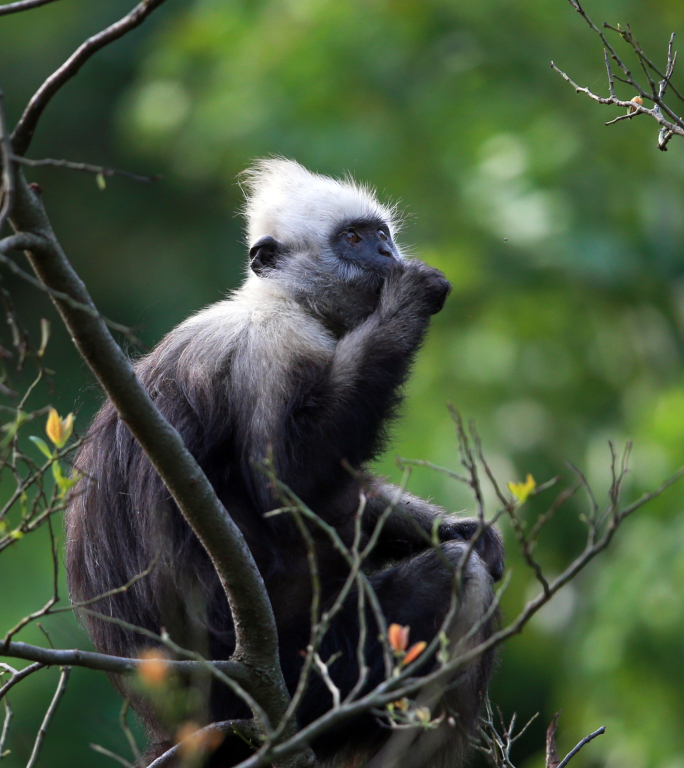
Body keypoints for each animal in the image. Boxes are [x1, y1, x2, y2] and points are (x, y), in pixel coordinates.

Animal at [65, 159, 502, 764]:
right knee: (458, 576)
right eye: (353, 239)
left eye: (382, 234)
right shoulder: (273, 347)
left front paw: (459, 527)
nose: (387, 254)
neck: (283, 301)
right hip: (304, 676)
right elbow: (292, 487)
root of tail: (176, 724)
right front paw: (409, 298)